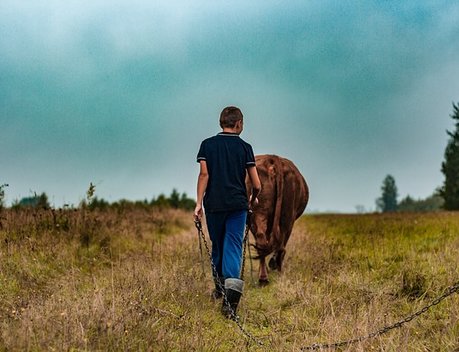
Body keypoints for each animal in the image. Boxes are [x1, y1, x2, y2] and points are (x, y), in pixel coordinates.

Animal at [248, 154, 310, 284]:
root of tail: (272, 158)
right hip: (287, 216)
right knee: (279, 244)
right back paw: (274, 270)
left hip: (262, 213)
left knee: (263, 239)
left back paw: (264, 277)